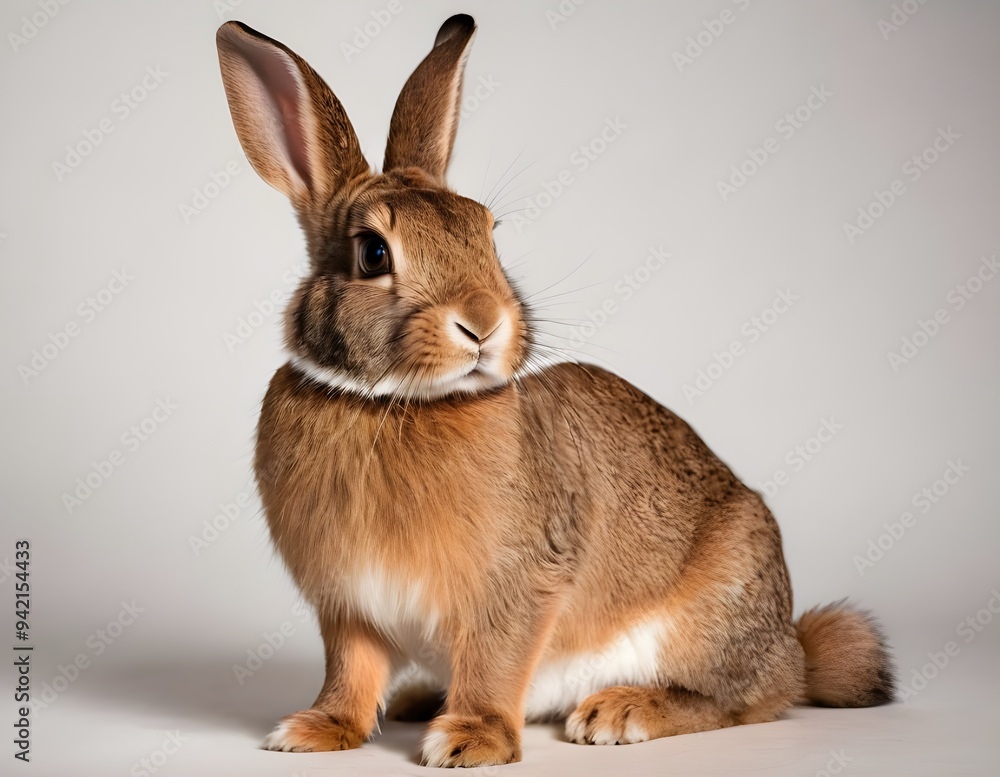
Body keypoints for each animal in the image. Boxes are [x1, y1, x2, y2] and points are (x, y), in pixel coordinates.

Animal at [216, 13, 894, 768]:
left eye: (487, 232)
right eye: (372, 253)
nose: (483, 322)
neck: (388, 402)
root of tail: (793, 650)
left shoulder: (519, 583)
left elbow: (493, 664)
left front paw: (469, 741)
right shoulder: (349, 605)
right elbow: (351, 672)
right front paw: (315, 730)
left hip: (711, 616)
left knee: (739, 700)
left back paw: (620, 712)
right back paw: (421, 698)